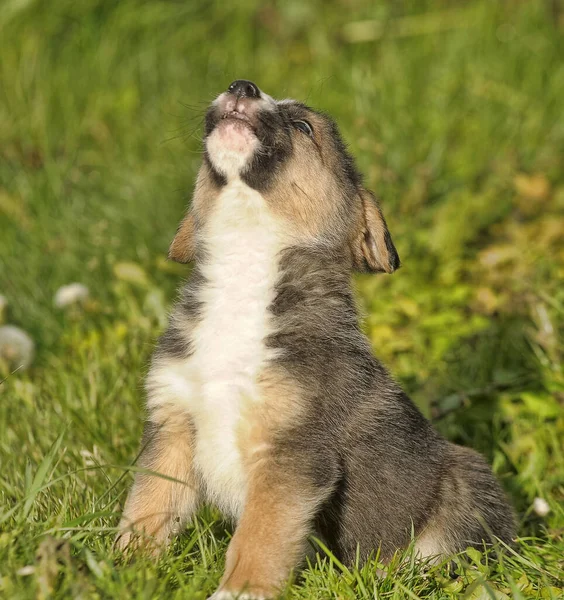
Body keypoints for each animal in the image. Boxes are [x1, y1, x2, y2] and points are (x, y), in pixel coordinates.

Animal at [119, 81, 516, 600]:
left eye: (305, 126)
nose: (241, 86)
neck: (245, 268)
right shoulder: (172, 426)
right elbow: (146, 508)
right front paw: (122, 570)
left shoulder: (291, 453)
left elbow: (259, 536)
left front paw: (239, 590)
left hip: (467, 483)